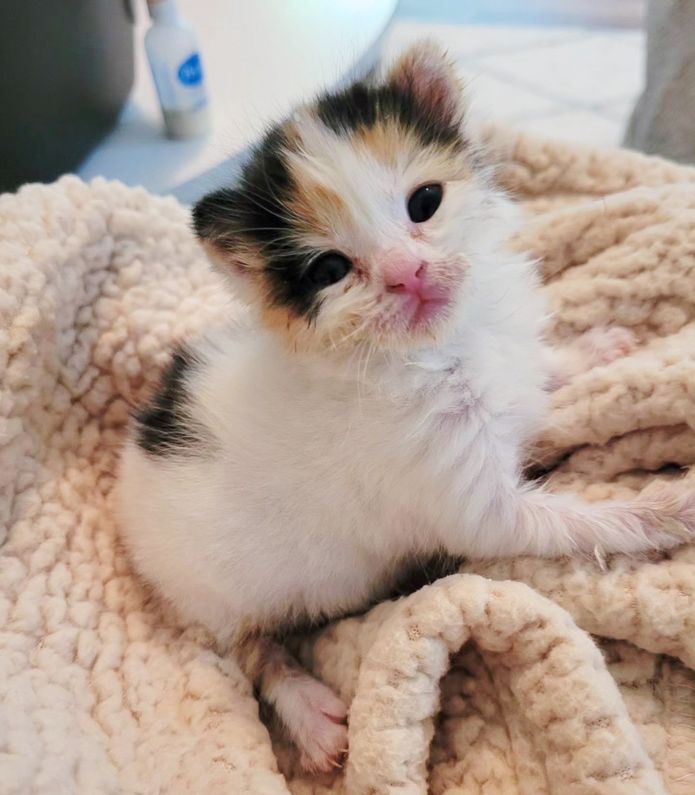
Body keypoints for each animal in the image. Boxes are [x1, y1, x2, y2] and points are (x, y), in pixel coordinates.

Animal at [115, 42, 695, 772]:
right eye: (331, 269)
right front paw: (669, 507)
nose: (406, 272)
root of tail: (134, 466)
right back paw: (308, 714)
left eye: (425, 202)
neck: (433, 350)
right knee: (250, 651)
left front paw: (589, 350)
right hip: (212, 592)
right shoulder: (476, 509)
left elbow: (537, 373)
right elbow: (576, 524)